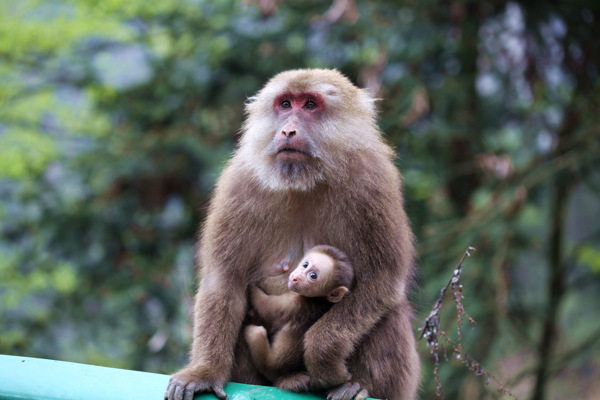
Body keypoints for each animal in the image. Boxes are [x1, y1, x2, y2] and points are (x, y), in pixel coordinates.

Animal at [245, 244, 356, 390]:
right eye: (305, 264)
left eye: (313, 276)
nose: (296, 277)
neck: (318, 299)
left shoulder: (294, 301)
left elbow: (265, 306)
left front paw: (250, 287)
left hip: (267, 364)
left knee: (257, 333)